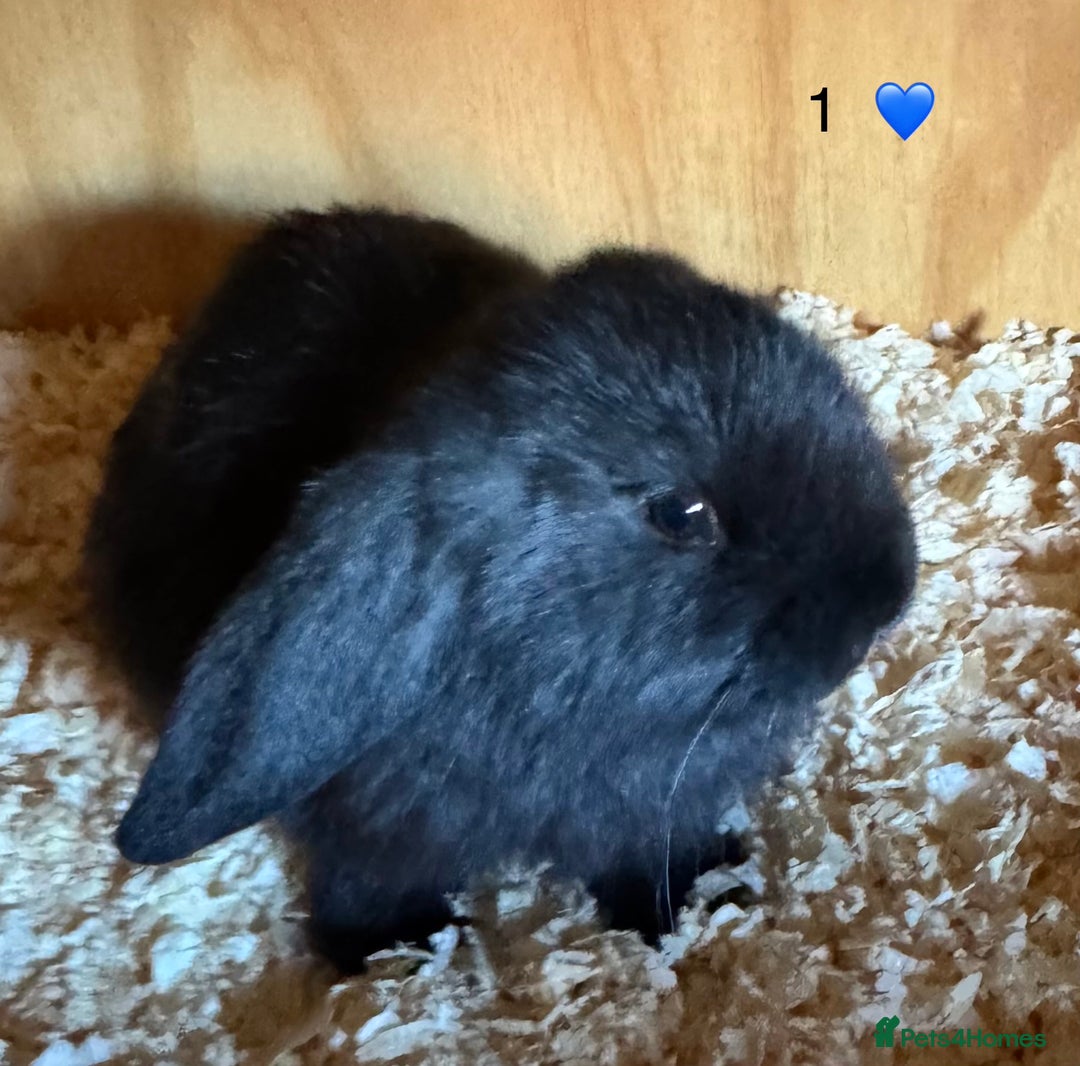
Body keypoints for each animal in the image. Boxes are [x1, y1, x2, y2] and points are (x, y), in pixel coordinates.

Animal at [86, 206, 917, 974]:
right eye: (681, 514)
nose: (884, 604)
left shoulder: (654, 816)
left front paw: (701, 900)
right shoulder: (368, 837)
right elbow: (364, 886)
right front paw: (396, 951)